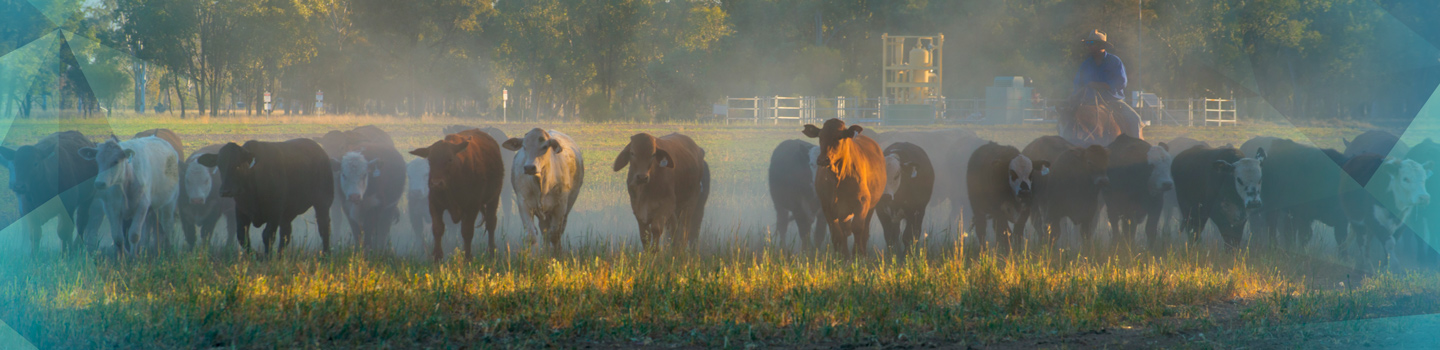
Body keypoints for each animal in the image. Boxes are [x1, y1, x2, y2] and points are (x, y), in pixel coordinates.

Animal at [197, 138, 334, 254]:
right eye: (220, 165)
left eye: (237, 165)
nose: (225, 191)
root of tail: (321, 151)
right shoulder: (241, 210)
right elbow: (242, 236)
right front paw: (256, 255)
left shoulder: (275, 212)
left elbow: (267, 235)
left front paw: (266, 257)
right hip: (287, 214)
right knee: (285, 234)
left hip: (323, 203)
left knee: (324, 226)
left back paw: (326, 253)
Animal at [411, 128, 506, 259]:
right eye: (430, 160)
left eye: (450, 159)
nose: (436, 183)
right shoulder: (434, 204)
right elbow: (437, 229)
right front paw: (437, 257)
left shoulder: (472, 206)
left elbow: (467, 232)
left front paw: (468, 257)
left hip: (494, 198)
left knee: (491, 223)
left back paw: (492, 251)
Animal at [806, 118, 881, 256]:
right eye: (820, 136)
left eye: (839, 137)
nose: (823, 160)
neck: (838, 178)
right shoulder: (827, 207)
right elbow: (837, 234)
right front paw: (842, 256)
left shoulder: (863, 202)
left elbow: (858, 228)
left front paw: (858, 253)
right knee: (844, 231)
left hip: (871, 207)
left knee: (864, 231)